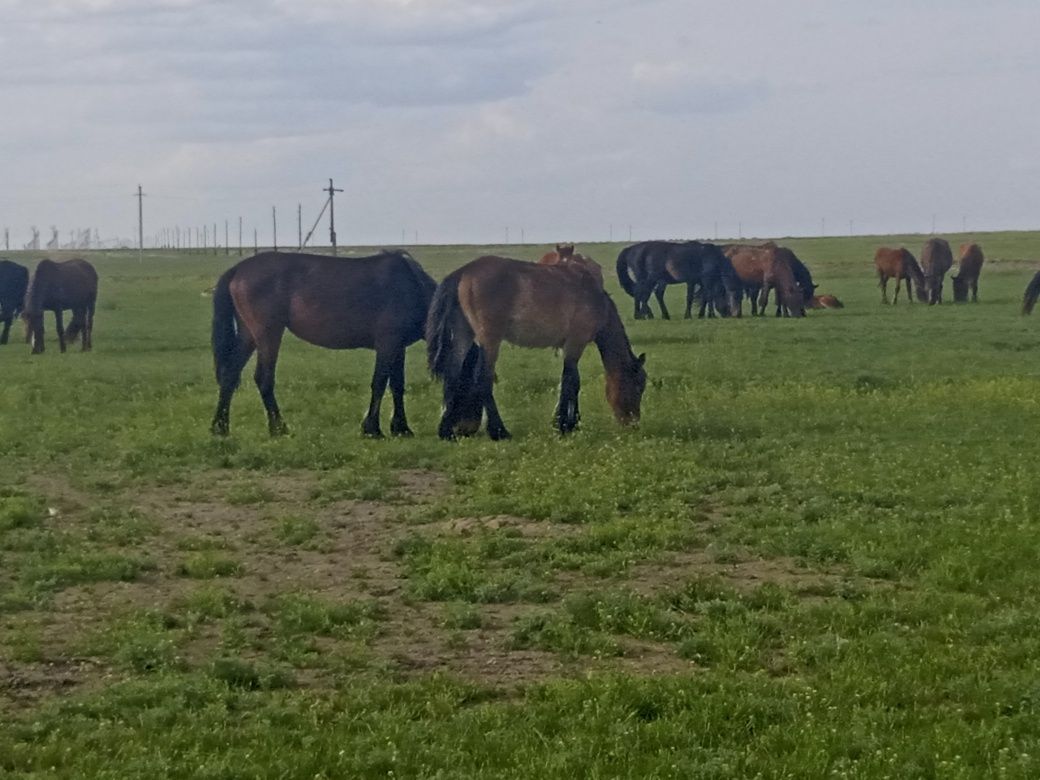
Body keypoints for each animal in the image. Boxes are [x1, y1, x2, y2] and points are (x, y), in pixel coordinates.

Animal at [209, 248, 436, 440]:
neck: (412, 288)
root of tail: (238, 269)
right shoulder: (387, 344)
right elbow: (379, 383)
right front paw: (372, 429)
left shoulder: (398, 347)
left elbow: (397, 385)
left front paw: (402, 428)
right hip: (268, 333)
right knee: (263, 378)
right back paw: (279, 428)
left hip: (248, 335)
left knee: (230, 374)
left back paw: (220, 427)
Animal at [426, 256, 644, 440]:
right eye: (638, 386)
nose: (633, 423)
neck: (595, 297)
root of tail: (464, 271)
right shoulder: (575, 344)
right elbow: (571, 382)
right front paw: (564, 425)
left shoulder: (568, 347)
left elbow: (570, 382)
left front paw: (569, 423)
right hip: (489, 340)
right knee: (483, 379)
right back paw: (499, 431)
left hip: (462, 335)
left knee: (452, 375)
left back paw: (446, 431)